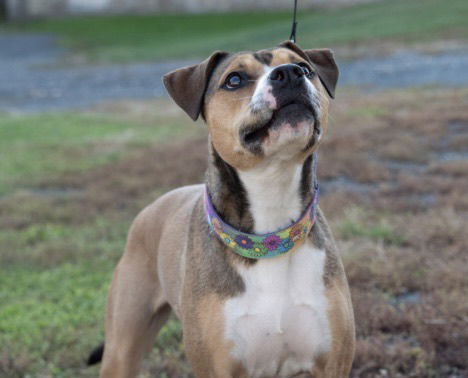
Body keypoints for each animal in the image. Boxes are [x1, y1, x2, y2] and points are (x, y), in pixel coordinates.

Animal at [90, 39, 354, 376]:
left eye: (304, 68)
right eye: (234, 79)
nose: (289, 74)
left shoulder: (333, 363)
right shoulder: (217, 367)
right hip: (122, 347)